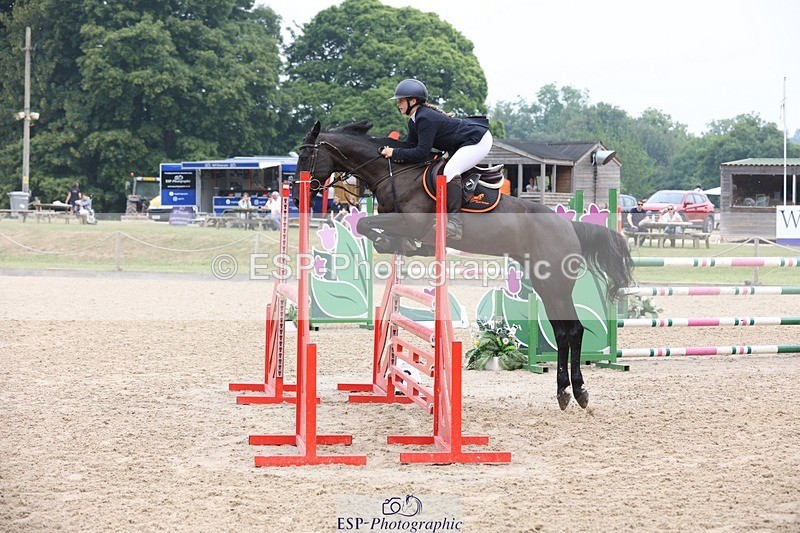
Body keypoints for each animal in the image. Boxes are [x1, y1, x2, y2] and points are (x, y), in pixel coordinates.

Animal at [294, 120, 634, 410]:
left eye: (307, 156)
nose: (299, 196)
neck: (394, 173)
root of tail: (569, 226)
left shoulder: (411, 222)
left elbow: (365, 222)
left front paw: (392, 242)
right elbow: (371, 227)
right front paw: (393, 244)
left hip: (556, 285)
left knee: (574, 330)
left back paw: (579, 392)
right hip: (545, 284)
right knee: (562, 332)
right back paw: (564, 392)